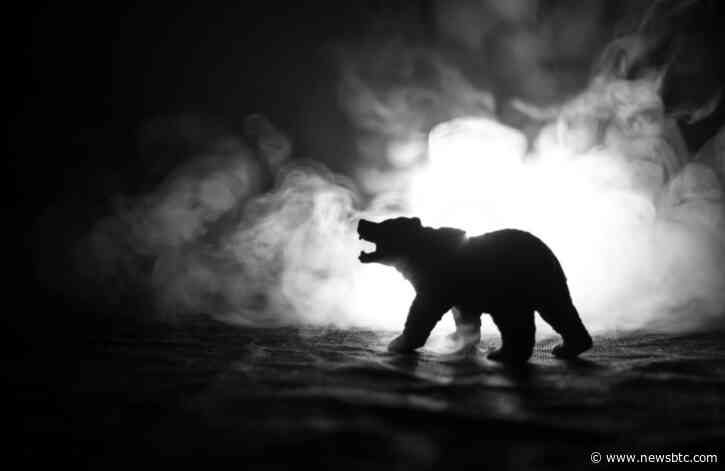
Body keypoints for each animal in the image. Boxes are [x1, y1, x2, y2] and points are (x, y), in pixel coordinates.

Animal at [357, 217, 592, 363]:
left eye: (384, 223)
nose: (362, 222)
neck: (418, 257)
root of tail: (548, 251)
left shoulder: (438, 282)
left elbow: (422, 311)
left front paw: (398, 343)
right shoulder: (461, 292)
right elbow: (465, 316)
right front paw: (459, 337)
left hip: (510, 285)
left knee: (516, 320)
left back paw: (504, 354)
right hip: (546, 284)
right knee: (559, 311)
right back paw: (570, 347)